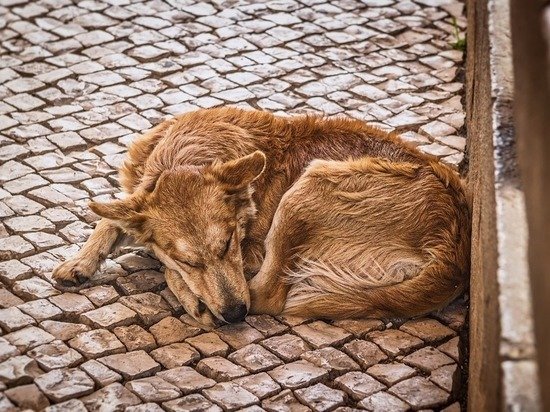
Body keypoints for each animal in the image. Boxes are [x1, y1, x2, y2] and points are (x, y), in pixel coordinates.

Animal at [51, 108, 472, 326]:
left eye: (229, 244)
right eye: (191, 260)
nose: (236, 315)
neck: (187, 154)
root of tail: (455, 255)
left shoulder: (250, 253)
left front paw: (186, 290)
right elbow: (111, 216)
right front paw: (79, 262)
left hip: (307, 189)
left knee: (267, 295)